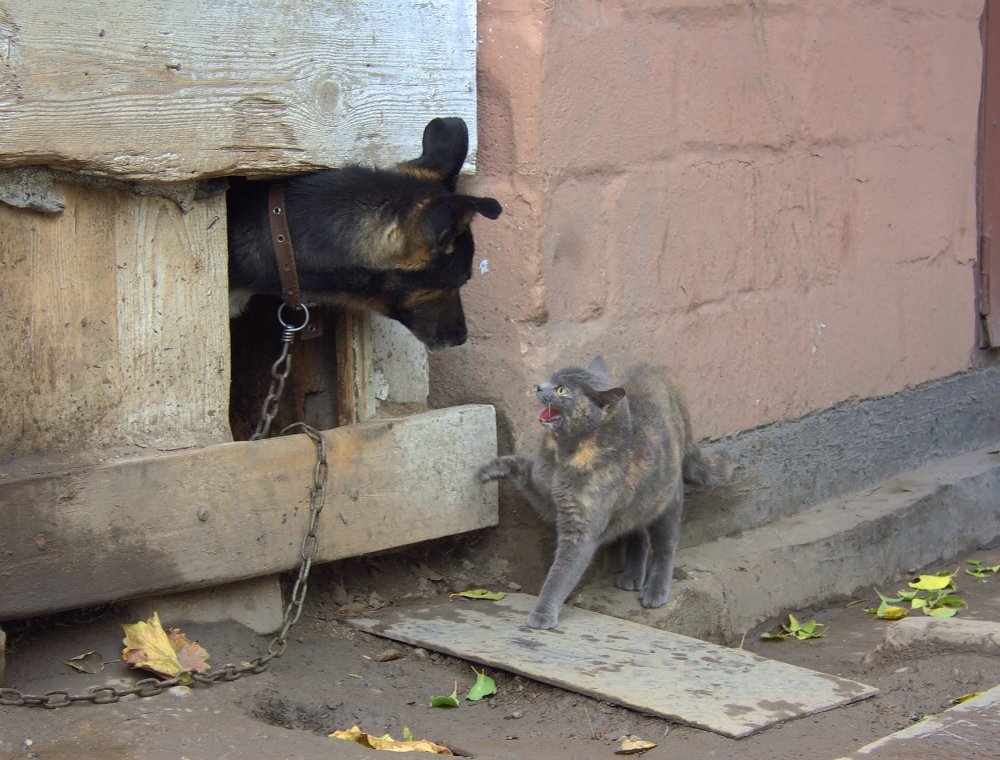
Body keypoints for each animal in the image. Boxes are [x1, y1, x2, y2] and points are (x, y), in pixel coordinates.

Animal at [476, 356, 728, 628]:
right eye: (551, 378)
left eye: (561, 390)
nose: (538, 386)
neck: (561, 454)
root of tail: (661, 371)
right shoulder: (542, 490)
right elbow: (520, 466)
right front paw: (487, 470)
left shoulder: (580, 529)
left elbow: (561, 573)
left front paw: (541, 614)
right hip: (636, 502)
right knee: (638, 533)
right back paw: (631, 576)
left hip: (667, 501)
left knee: (665, 546)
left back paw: (655, 590)